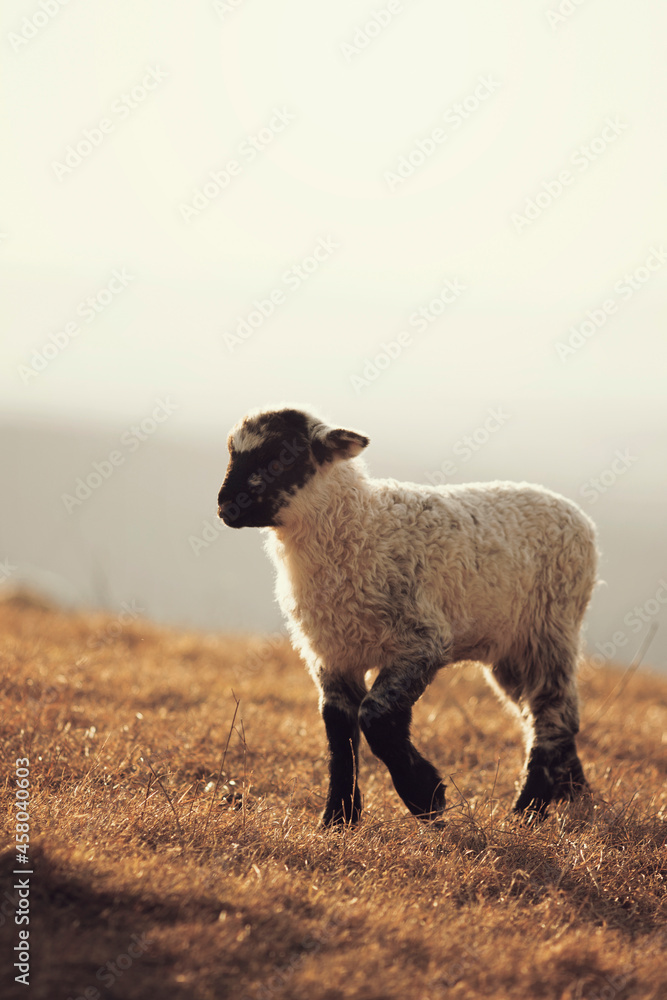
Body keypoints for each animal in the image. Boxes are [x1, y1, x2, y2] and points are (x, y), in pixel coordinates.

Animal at [217, 405, 598, 827]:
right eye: (232, 454)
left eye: (281, 457)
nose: (225, 506)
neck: (358, 528)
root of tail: (579, 517)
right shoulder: (332, 654)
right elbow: (339, 730)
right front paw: (338, 817)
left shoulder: (422, 641)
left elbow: (376, 717)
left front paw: (425, 795)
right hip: (511, 652)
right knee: (551, 713)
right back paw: (573, 792)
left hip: (548, 630)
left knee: (552, 714)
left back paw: (528, 809)